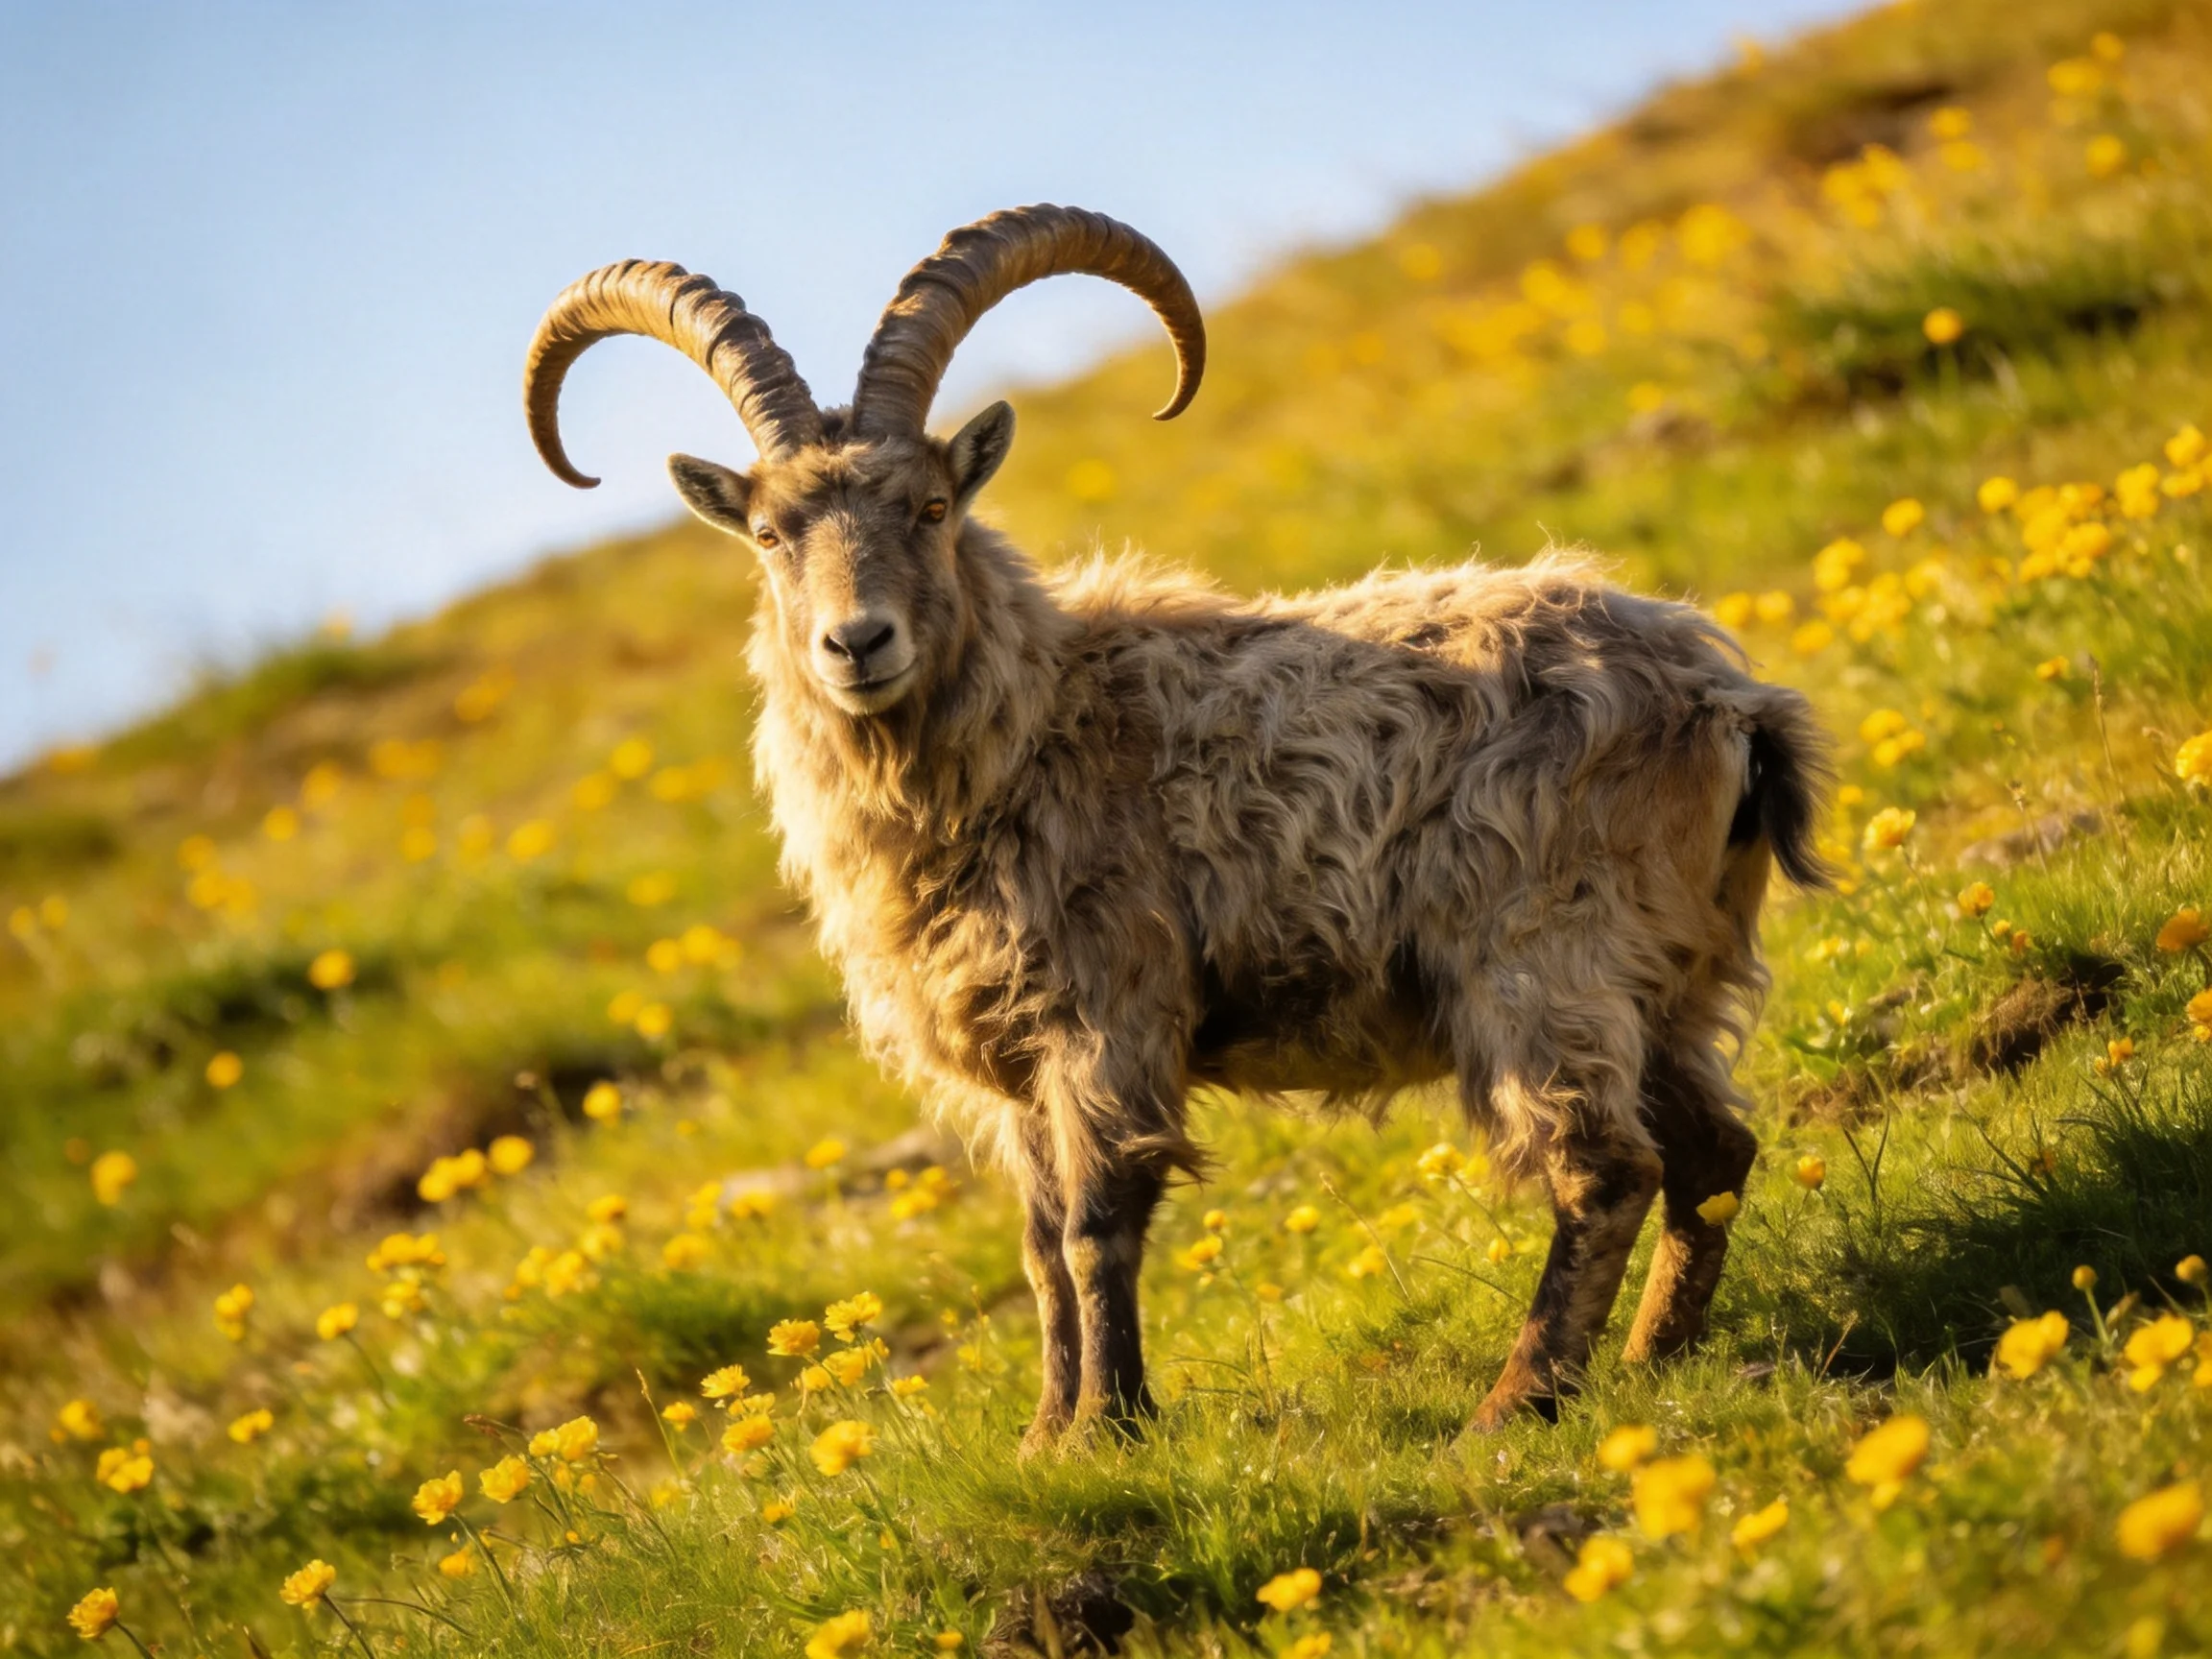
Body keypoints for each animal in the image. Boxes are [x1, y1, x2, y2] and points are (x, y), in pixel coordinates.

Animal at [523, 205, 1831, 1450]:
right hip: (1669, 978)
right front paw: (1045, 1436)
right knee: (1713, 1152)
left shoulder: (1112, 1013)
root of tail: (1735, 705)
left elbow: (1098, 1225)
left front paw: (1113, 1426)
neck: (1035, 732)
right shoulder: (1019, 1065)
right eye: (769, 534)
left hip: (1542, 960)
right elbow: (1039, 1241)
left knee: (1605, 1169)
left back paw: (1509, 1411)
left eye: (932, 505)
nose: (857, 644)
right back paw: (1653, 1358)